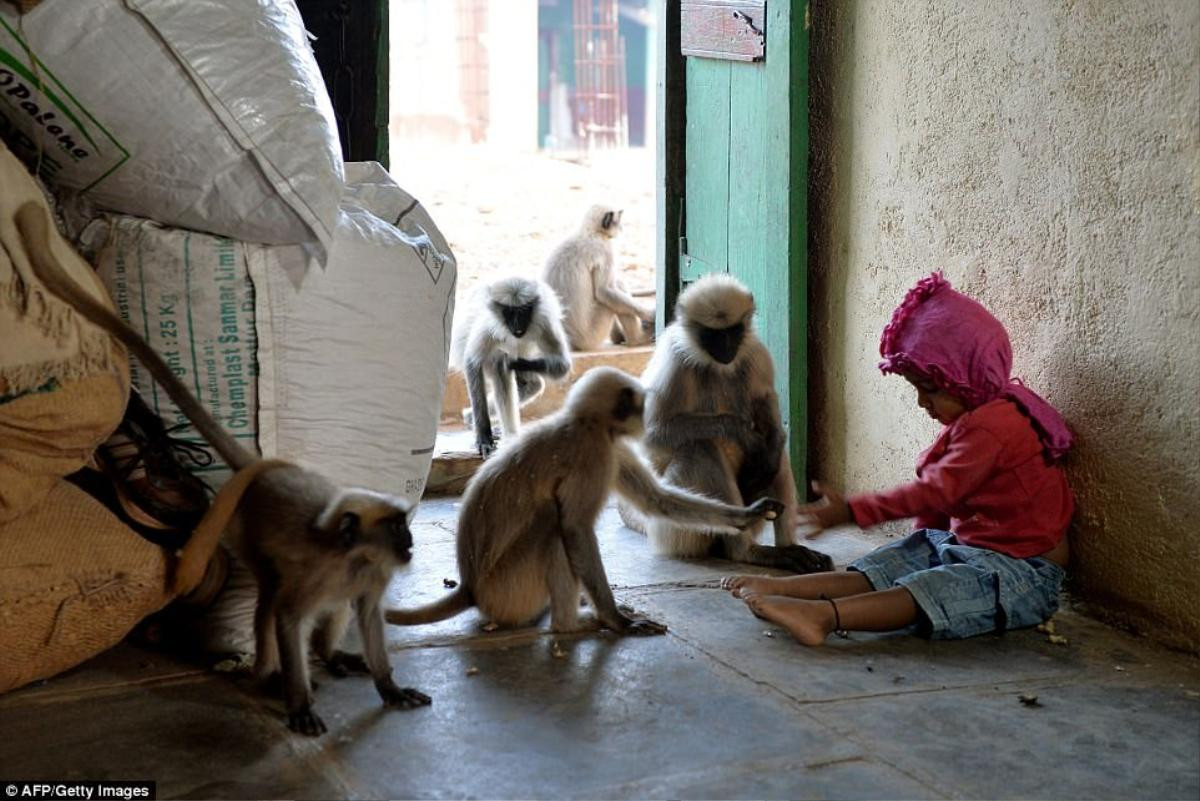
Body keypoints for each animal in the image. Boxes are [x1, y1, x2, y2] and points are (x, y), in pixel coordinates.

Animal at [15, 201, 432, 738]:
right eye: (398, 526)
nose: (409, 543)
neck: (352, 556)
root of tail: (262, 472)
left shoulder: (370, 574)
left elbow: (368, 616)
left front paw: (389, 686)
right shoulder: (320, 571)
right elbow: (289, 618)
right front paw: (299, 701)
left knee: (332, 608)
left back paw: (330, 655)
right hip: (246, 536)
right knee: (270, 599)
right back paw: (271, 677)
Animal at [384, 366, 792, 633]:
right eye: (639, 406)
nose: (645, 417)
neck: (584, 423)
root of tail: (471, 588)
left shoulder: (612, 447)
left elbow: (656, 500)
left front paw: (747, 515)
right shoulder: (593, 455)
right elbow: (577, 528)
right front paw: (615, 620)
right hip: (509, 590)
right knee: (554, 526)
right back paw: (572, 624)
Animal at [453, 275, 576, 455]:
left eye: (524, 311)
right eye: (509, 312)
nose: (517, 324)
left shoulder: (544, 322)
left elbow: (562, 366)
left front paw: (515, 362)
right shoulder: (488, 326)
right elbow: (472, 363)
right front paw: (483, 435)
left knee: (531, 384)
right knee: (497, 363)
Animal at [544, 203, 657, 350]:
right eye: (617, 222)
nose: (622, 228)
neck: (590, 232)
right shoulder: (605, 249)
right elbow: (604, 291)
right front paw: (650, 315)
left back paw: (618, 337)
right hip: (592, 334)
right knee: (615, 287)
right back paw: (637, 339)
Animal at [619, 275, 835, 575]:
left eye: (733, 332)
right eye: (712, 335)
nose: (726, 348)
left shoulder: (754, 350)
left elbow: (767, 407)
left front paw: (768, 443)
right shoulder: (674, 360)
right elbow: (651, 437)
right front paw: (739, 430)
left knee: (775, 452)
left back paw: (787, 548)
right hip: (672, 530)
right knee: (699, 447)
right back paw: (745, 551)